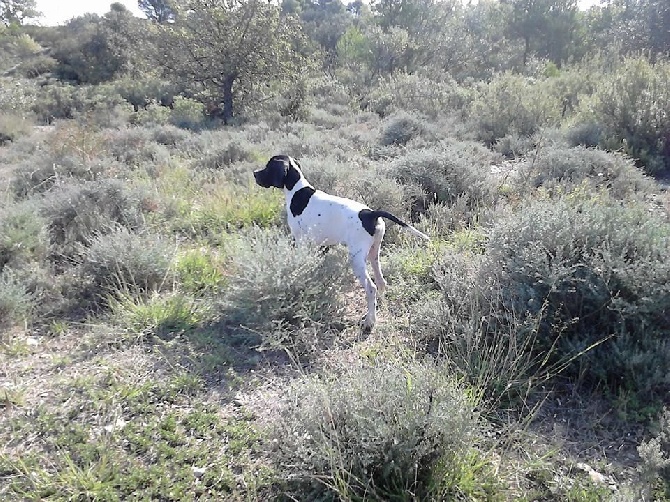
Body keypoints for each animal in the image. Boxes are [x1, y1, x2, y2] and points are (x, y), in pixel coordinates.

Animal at [252, 155, 430, 332]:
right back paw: (376, 311)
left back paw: (369, 322)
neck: (297, 191)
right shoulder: (320, 247)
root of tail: (370, 213)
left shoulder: (301, 242)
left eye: (268, 167)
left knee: (371, 288)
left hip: (357, 260)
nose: (254, 173)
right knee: (381, 282)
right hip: (374, 253)